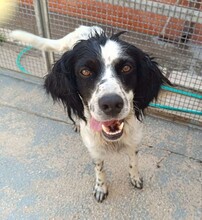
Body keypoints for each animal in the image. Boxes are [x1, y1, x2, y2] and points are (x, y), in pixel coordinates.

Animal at [10, 26, 170, 203]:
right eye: (85, 71)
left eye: (127, 68)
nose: (111, 104)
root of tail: (83, 28)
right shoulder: (94, 149)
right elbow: (99, 170)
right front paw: (101, 188)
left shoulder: (134, 142)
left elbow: (133, 162)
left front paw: (135, 177)